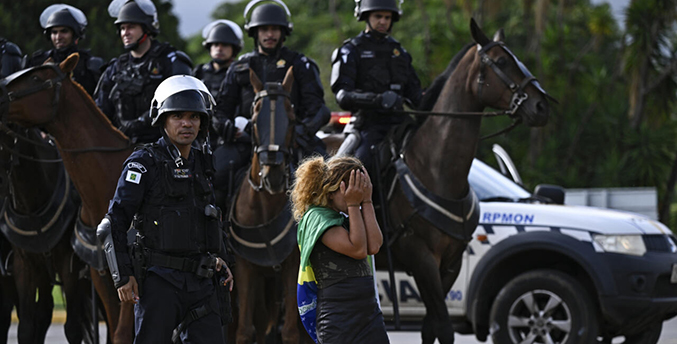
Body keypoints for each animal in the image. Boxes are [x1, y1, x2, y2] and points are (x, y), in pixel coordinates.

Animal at [228, 68, 308, 344]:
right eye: (254, 120)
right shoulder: (244, 269)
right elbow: (243, 330)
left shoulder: (293, 267)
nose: (272, 175)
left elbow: (291, 331)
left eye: (292, 119)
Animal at [370, 20, 556, 342]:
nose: (541, 106)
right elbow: (444, 327)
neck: (436, 172)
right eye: (502, 62)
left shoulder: (451, 264)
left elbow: (431, 326)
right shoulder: (421, 257)